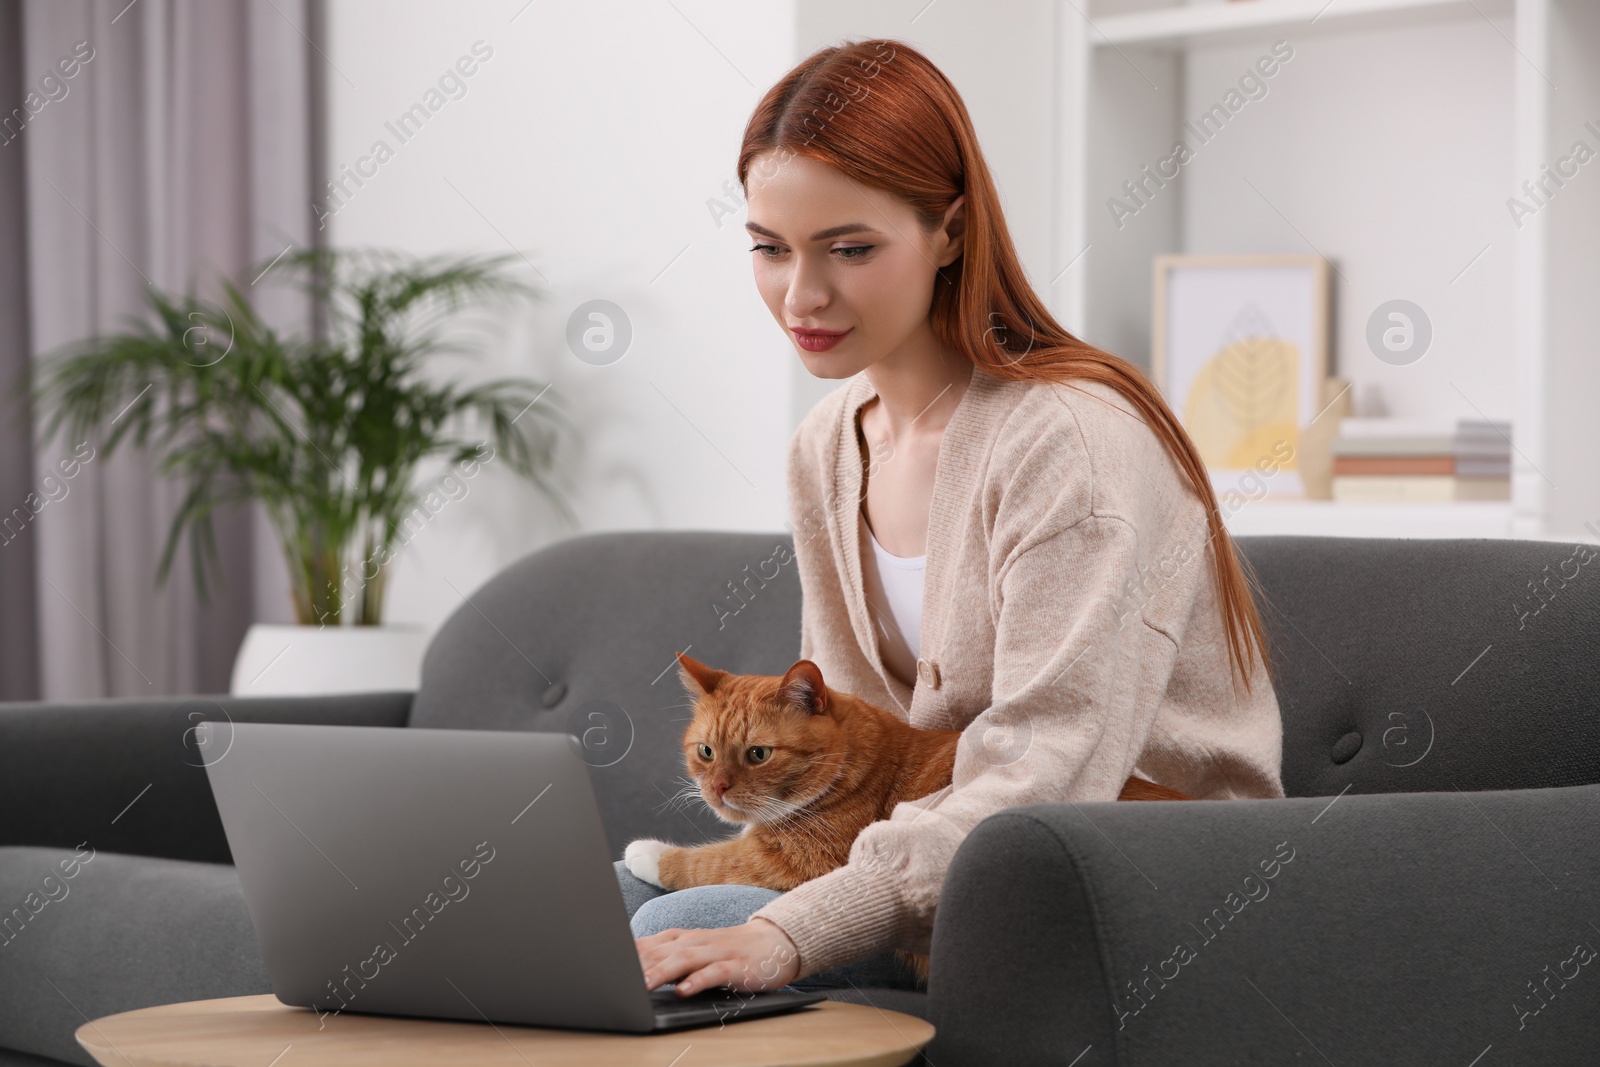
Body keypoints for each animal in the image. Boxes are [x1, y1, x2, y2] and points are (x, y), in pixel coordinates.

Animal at [620, 646, 1190, 991]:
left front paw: (646, 852)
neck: (855, 761)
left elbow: (714, 860)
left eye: (758, 755)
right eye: (706, 752)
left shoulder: (805, 861)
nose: (716, 788)